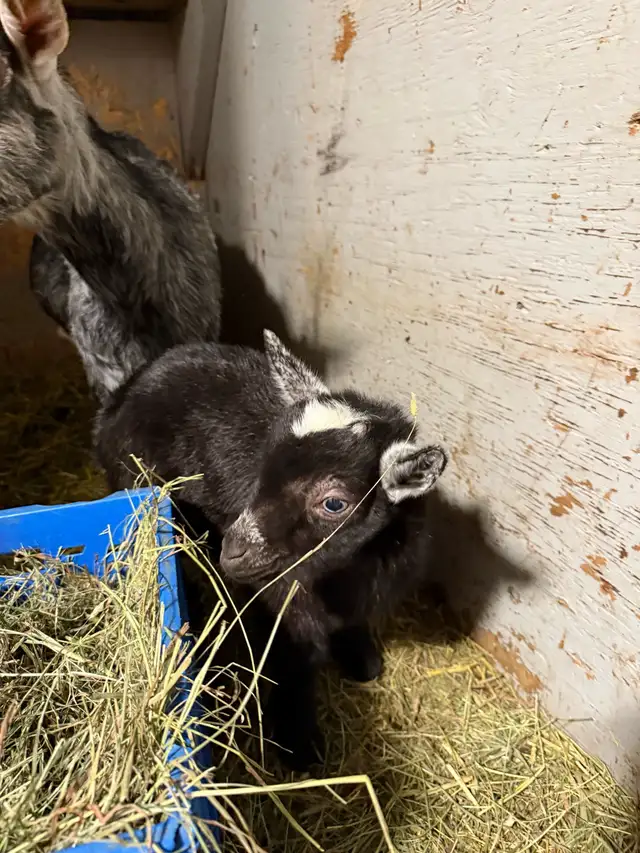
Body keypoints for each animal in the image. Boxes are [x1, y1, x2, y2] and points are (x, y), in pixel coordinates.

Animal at [94, 331, 448, 769]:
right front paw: (299, 742)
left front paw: (362, 659)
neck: (346, 572)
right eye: (264, 465)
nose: (233, 552)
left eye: (334, 503)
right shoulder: (283, 597)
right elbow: (292, 657)